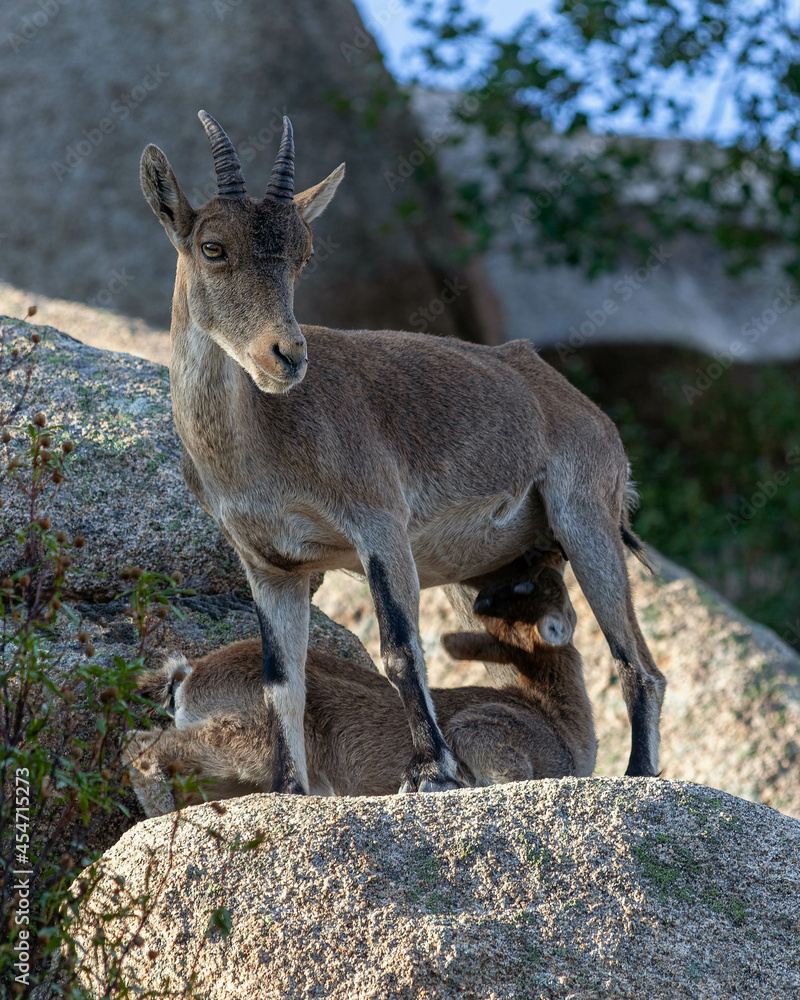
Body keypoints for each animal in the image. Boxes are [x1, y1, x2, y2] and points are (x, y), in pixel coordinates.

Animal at [139, 111, 664, 794]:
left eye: (304, 255)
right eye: (212, 246)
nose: (287, 355)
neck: (257, 447)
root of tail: (582, 407)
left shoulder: (379, 524)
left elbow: (400, 648)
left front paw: (432, 771)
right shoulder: (270, 564)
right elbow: (283, 683)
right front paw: (288, 789)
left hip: (585, 515)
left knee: (639, 664)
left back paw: (640, 773)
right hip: (492, 567)